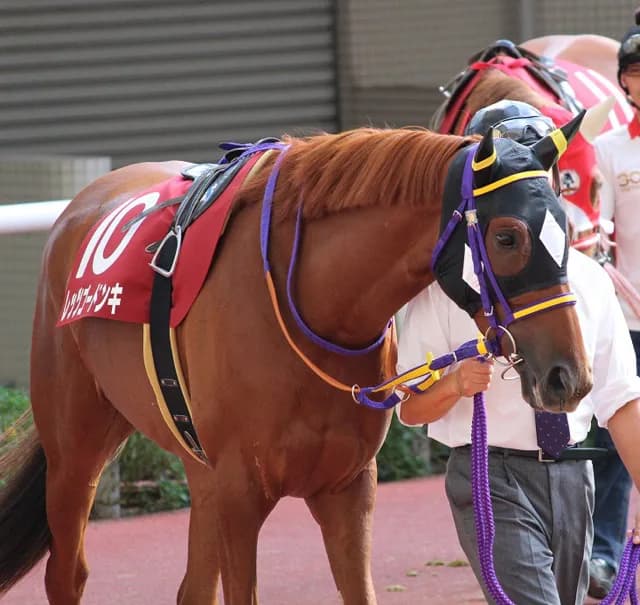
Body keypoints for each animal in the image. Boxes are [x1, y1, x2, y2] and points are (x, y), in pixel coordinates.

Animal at [0, 124, 592, 605]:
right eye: (507, 236)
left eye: (565, 227)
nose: (569, 376)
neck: (314, 305)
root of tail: (81, 204)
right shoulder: (241, 492)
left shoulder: (348, 487)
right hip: (76, 449)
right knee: (67, 573)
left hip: (198, 466)